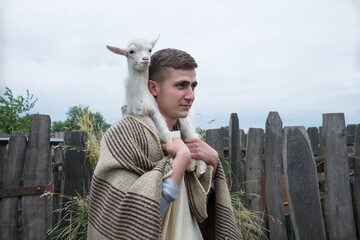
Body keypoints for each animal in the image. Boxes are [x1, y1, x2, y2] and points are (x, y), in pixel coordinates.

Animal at [105, 36, 207, 177]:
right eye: (131, 51)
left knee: (193, 135)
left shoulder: (155, 111)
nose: (145, 59)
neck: (142, 92)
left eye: (149, 50)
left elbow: (166, 134)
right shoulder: (139, 110)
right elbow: (157, 131)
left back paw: (199, 166)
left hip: (185, 119)